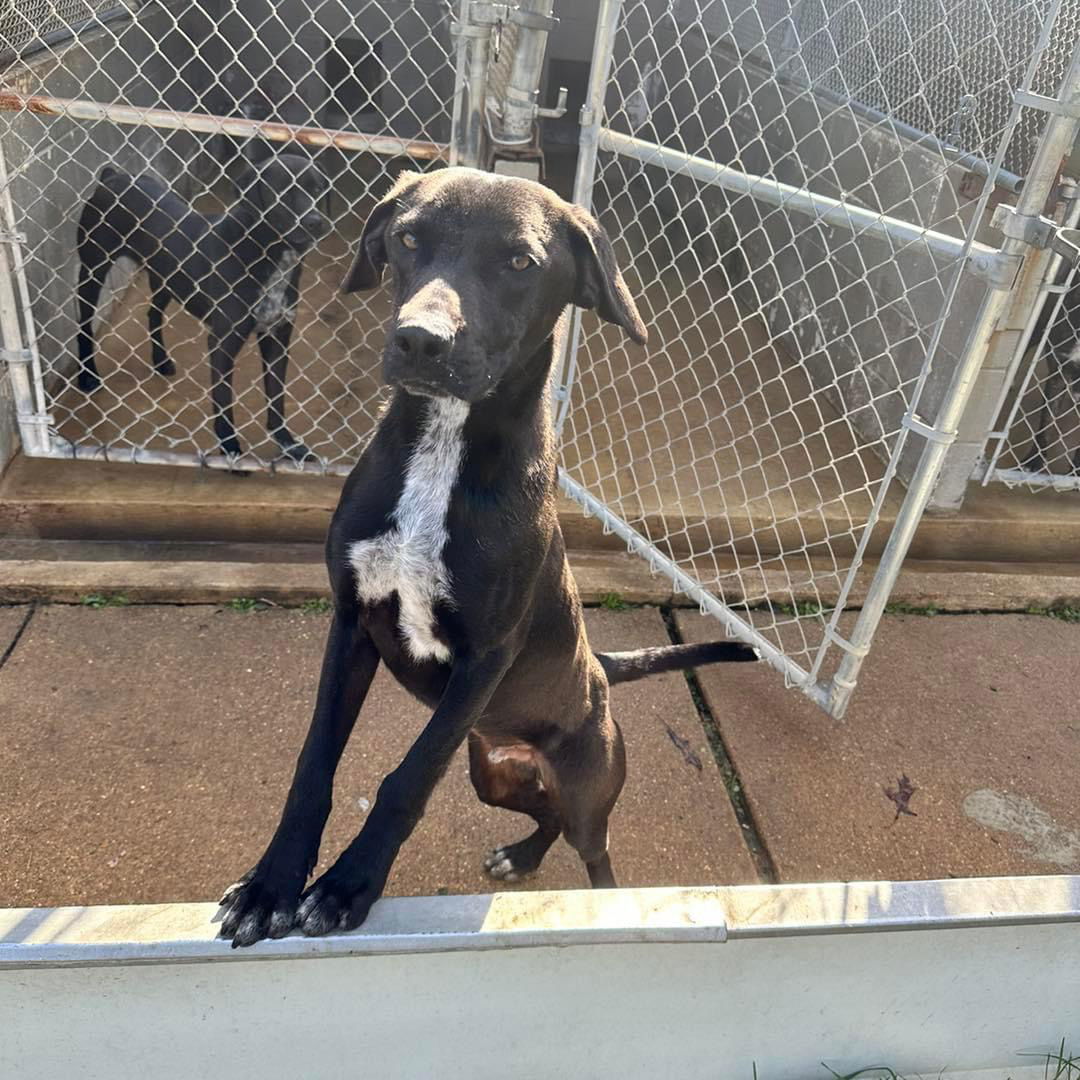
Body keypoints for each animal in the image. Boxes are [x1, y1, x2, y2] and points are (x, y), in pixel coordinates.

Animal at [219, 166, 760, 946]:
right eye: (409, 239)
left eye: (520, 262)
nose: (419, 340)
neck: (443, 450)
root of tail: (599, 671)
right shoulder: (351, 621)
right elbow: (313, 764)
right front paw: (273, 883)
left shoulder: (485, 657)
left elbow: (408, 777)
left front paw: (349, 884)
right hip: (492, 773)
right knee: (546, 818)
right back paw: (522, 855)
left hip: (587, 782)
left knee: (592, 846)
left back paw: (597, 898)